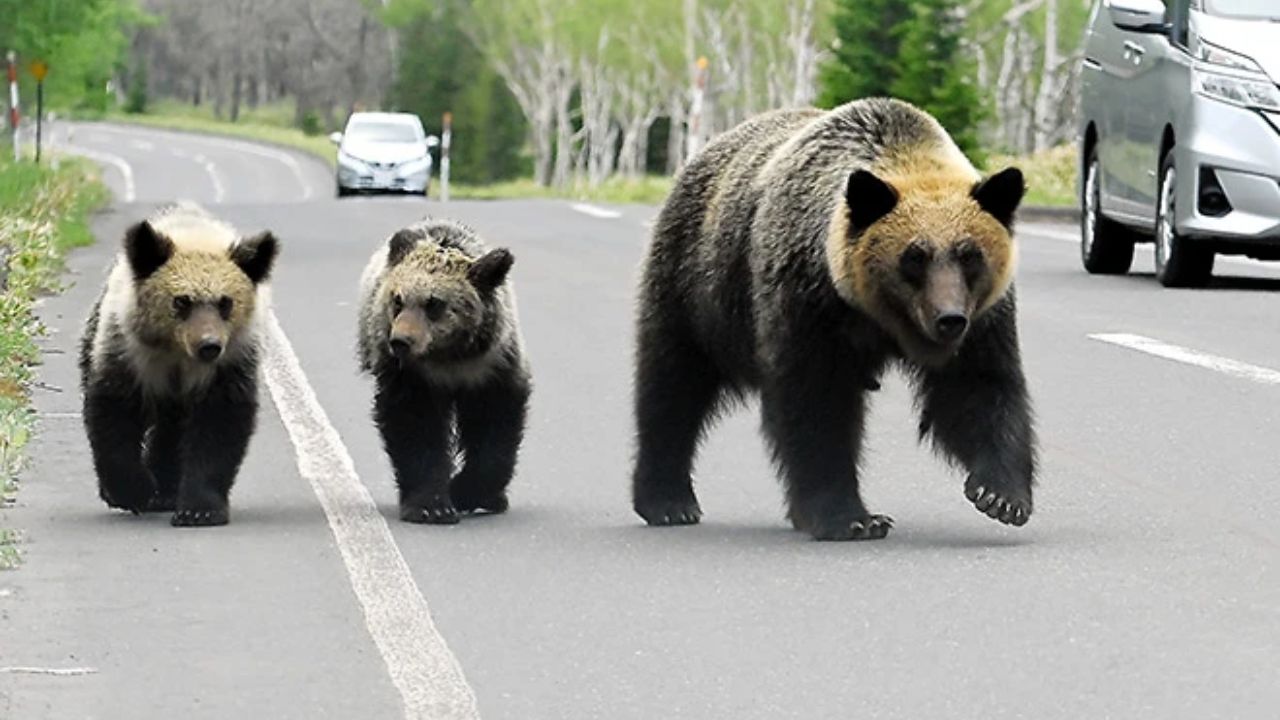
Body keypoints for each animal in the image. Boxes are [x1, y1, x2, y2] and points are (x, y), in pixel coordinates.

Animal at [79, 202, 279, 527]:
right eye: (182, 301)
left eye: (226, 302)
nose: (209, 345)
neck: (177, 353)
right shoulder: (126, 351)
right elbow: (114, 415)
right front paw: (133, 490)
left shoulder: (231, 362)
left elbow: (218, 425)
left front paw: (200, 509)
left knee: (172, 432)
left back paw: (166, 490)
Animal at [357, 219, 531, 524]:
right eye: (398, 299)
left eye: (434, 303)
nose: (400, 341)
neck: (449, 356)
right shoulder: (410, 376)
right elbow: (415, 426)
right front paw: (431, 506)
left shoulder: (493, 366)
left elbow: (495, 424)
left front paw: (467, 492)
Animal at [630, 97, 1036, 541]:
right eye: (914, 256)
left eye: (970, 255)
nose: (949, 318)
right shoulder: (809, 301)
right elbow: (817, 405)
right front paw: (852, 517)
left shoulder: (985, 319)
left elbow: (977, 388)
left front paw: (1000, 495)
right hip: (698, 284)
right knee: (673, 383)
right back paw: (668, 501)